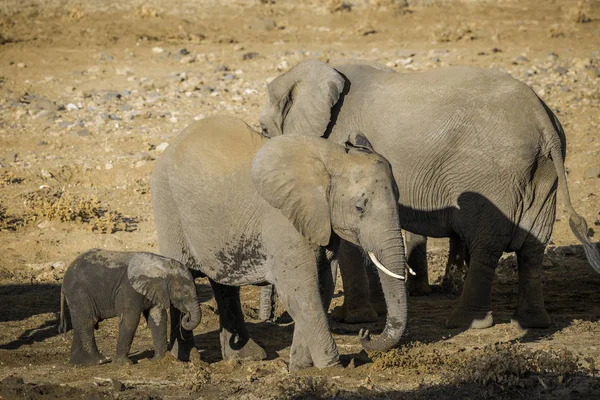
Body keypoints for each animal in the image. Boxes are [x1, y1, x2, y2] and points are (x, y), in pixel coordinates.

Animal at [59, 250, 200, 366]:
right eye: (184, 292)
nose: (187, 315)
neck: (162, 264)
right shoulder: (129, 289)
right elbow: (130, 319)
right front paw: (123, 365)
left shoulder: (157, 290)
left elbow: (158, 318)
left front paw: (158, 361)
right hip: (78, 291)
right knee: (87, 322)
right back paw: (99, 361)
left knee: (80, 323)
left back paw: (79, 363)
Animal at [152, 115, 410, 372]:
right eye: (359, 208)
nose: (365, 335)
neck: (331, 158)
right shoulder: (283, 223)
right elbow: (300, 292)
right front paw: (333, 369)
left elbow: (322, 285)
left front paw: (300, 369)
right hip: (167, 205)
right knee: (182, 274)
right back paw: (184, 359)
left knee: (225, 285)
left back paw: (245, 357)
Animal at [262, 58, 600, 328]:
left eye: (264, 131)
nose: (272, 319)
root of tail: (542, 116)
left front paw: (352, 320)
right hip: (544, 170)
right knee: (533, 246)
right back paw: (533, 322)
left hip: (493, 175)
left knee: (487, 244)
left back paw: (465, 322)